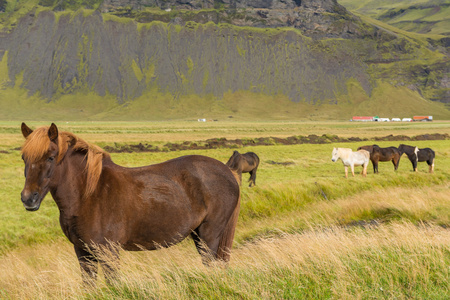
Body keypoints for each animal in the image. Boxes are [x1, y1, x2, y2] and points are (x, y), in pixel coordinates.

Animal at [19, 122, 241, 282]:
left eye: (51, 157)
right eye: (24, 158)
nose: (28, 198)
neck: (88, 195)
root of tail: (227, 171)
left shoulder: (108, 252)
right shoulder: (83, 252)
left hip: (209, 236)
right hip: (197, 234)